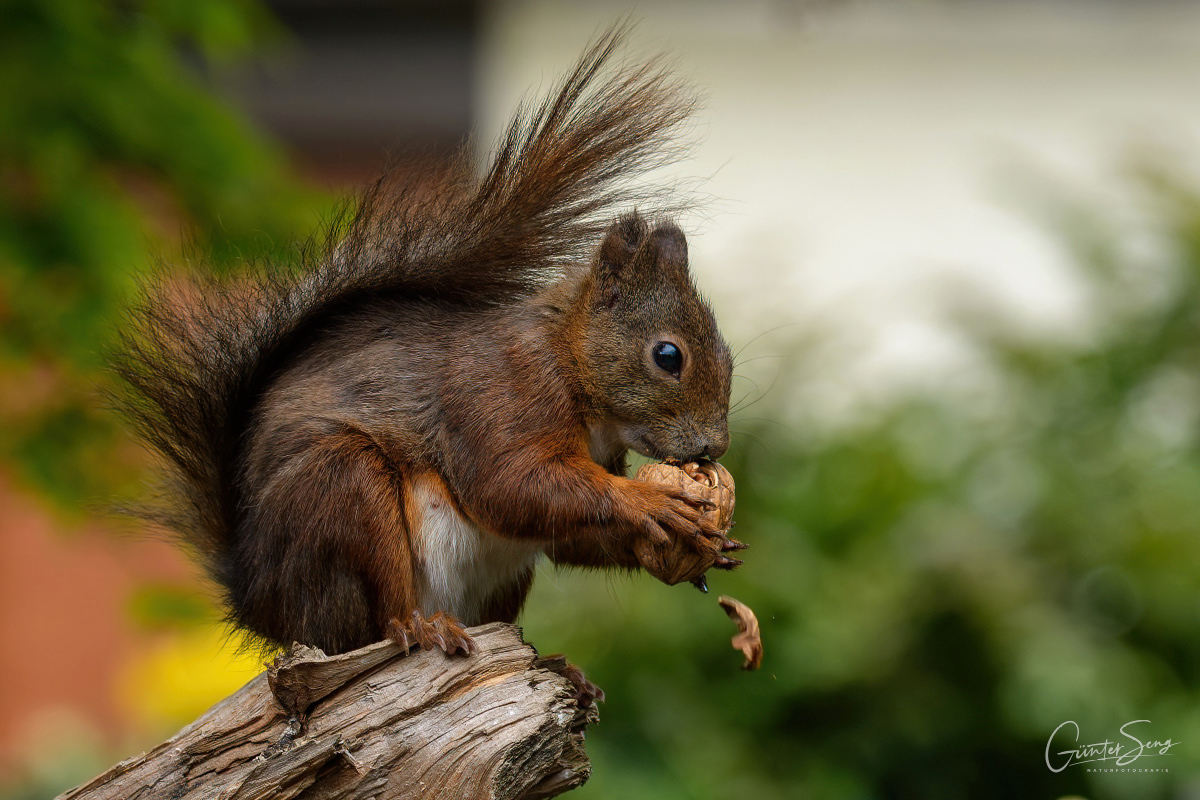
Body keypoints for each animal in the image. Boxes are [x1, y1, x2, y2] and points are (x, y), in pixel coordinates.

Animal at [117, 28, 744, 666]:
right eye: (668, 356)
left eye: (728, 356)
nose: (714, 447)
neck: (570, 361)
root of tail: (262, 605)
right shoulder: (503, 392)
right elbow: (511, 484)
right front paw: (650, 504)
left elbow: (566, 538)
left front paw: (700, 546)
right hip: (341, 492)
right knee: (377, 612)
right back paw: (419, 626)